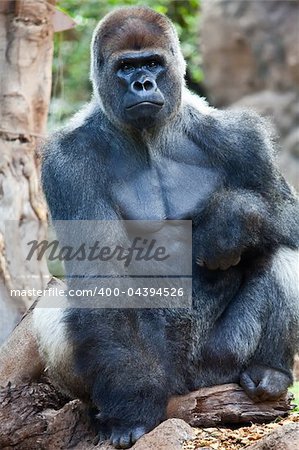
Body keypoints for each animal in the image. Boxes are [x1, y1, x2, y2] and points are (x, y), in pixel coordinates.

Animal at [32, 7, 299, 450]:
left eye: (154, 63)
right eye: (126, 67)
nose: (143, 83)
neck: (151, 134)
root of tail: (185, 387)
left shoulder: (242, 137)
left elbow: (289, 214)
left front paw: (232, 217)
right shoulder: (67, 162)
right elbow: (100, 279)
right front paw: (131, 408)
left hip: (217, 366)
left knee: (282, 249)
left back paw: (270, 370)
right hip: (165, 374)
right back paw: (104, 408)